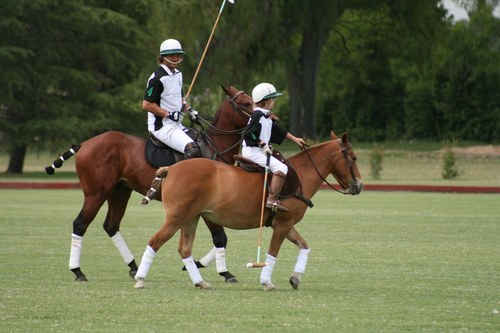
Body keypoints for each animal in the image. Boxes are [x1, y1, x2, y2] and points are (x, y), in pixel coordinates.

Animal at [45, 85, 252, 280]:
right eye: (246, 103)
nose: (263, 117)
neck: (214, 147)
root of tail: (84, 144)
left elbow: (223, 236)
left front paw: (198, 264)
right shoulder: (208, 205)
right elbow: (220, 237)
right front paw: (224, 272)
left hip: (120, 191)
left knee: (111, 225)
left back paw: (133, 267)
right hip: (96, 193)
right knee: (80, 224)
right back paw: (78, 271)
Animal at [133, 131, 364, 290]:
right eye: (353, 157)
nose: (360, 185)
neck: (301, 176)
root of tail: (171, 169)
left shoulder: (286, 224)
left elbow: (304, 246)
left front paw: (295, 278)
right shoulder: (282, 225)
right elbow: (272, 253)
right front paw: (266, 282)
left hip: (191, 218)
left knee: (184, 248)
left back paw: (201, 282)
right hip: (176, 217)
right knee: (155, 242)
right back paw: (140, 280)